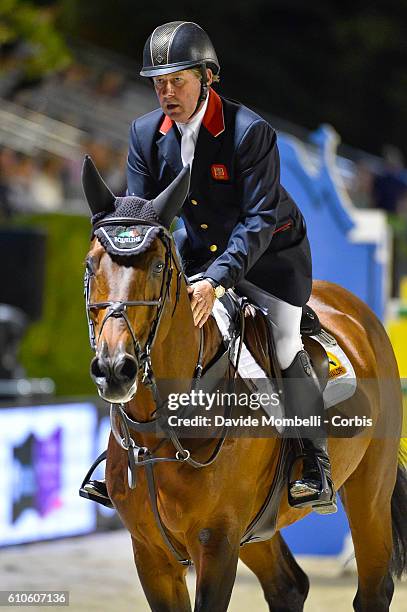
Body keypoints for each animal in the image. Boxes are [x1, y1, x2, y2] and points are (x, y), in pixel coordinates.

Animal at [81, 159, 406, 612]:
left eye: (159, 267)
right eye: (91, 265)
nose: (115, 369)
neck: (163, 427)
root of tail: (358, 312)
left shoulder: (217, 543)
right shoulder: (152, 554)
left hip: (368, 492)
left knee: (373, 590)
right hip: (258, 528)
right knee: (288, 585)